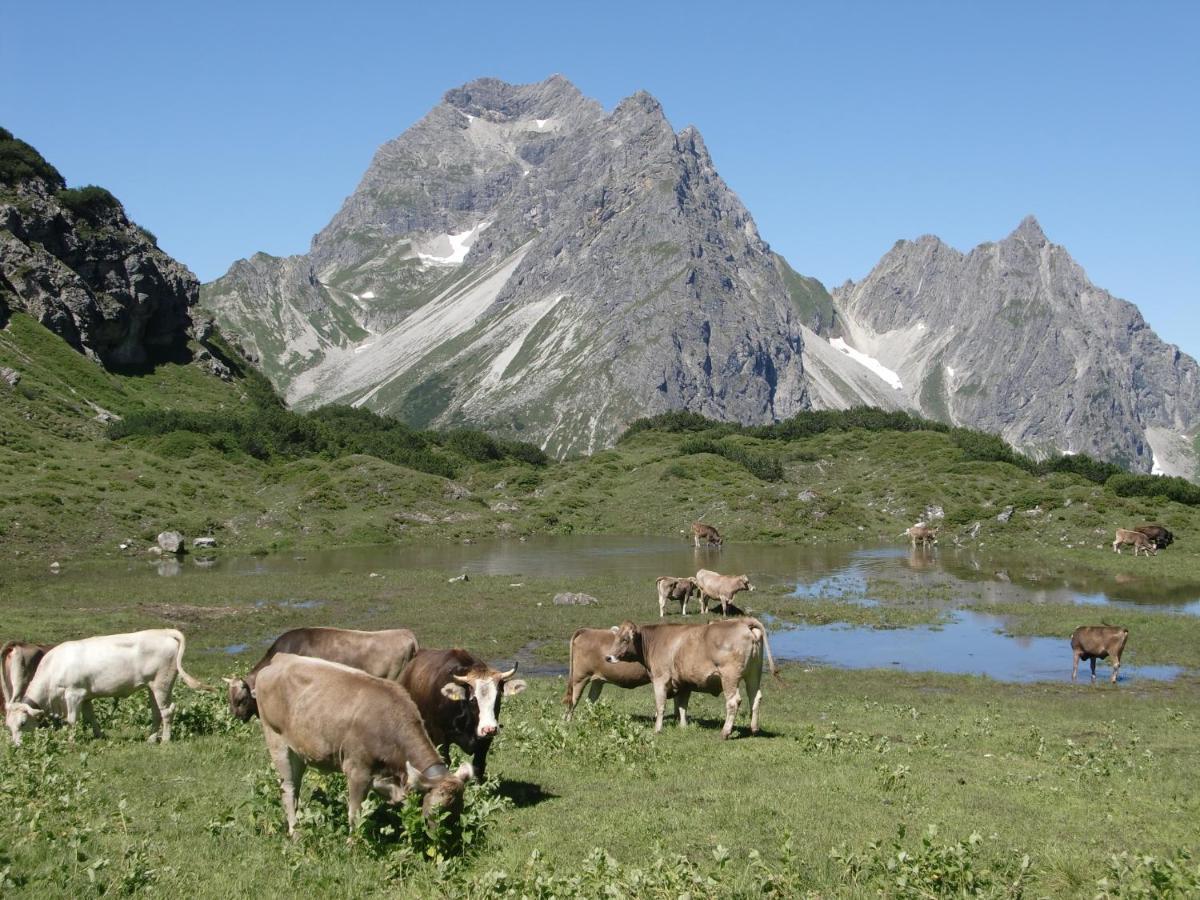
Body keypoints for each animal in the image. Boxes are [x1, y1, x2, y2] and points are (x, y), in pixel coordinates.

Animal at [5, 628, 211, 748]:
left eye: (22, 723)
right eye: (8, 726)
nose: (16, 745)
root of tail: (164, 632)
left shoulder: (73, 694)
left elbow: (72, 720)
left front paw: (70, 741)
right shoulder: (85, 697)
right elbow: (91, 717)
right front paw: (99, 735)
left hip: (162, 683)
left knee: (167, 711)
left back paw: (166, 740)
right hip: (152, 686)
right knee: (156, 712)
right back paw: (152, 738)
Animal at [254, 657, 472, 840]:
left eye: (459, 809)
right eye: (438, 811)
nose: (448, 841)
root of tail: (279, 660)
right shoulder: (357, 770)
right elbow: (355, 813)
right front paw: (353, 843)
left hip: (299, 751)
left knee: (296, 786)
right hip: (277, 742)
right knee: (288, 788)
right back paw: (295, 832)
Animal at [398, 648, 525, 782]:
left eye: (498, 697)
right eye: (473, 700)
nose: (489, 728)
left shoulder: (485, 742)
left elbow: (478, 767)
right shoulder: (440, 737)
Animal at [604, 619, 782, 739]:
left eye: (625, 639)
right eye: (615, 638)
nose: (608, 657)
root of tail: (743, 622)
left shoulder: (660, 678)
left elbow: (660, 706)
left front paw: (657, 729)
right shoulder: (684, 683)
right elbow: (682, 706)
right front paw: (683, 727)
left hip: (729, 676)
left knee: (733, 701)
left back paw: (725, 732)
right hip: (753, 674)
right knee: (755, 697)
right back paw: (754, 729)